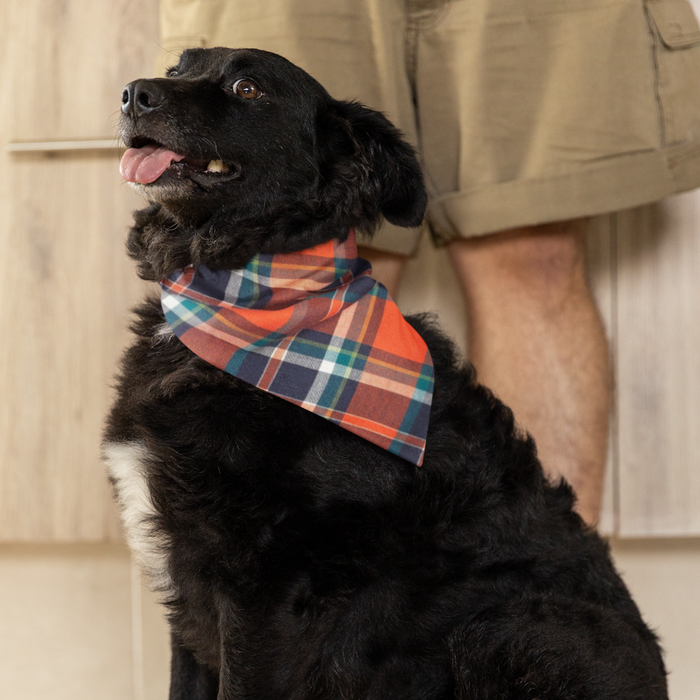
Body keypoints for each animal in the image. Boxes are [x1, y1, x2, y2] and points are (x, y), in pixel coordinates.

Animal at [104, 46, 668, 696]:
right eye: (177, 70)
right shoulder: (190, 586)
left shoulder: (265, 590)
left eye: (247, 88)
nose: (133, 93)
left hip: (505, 628)